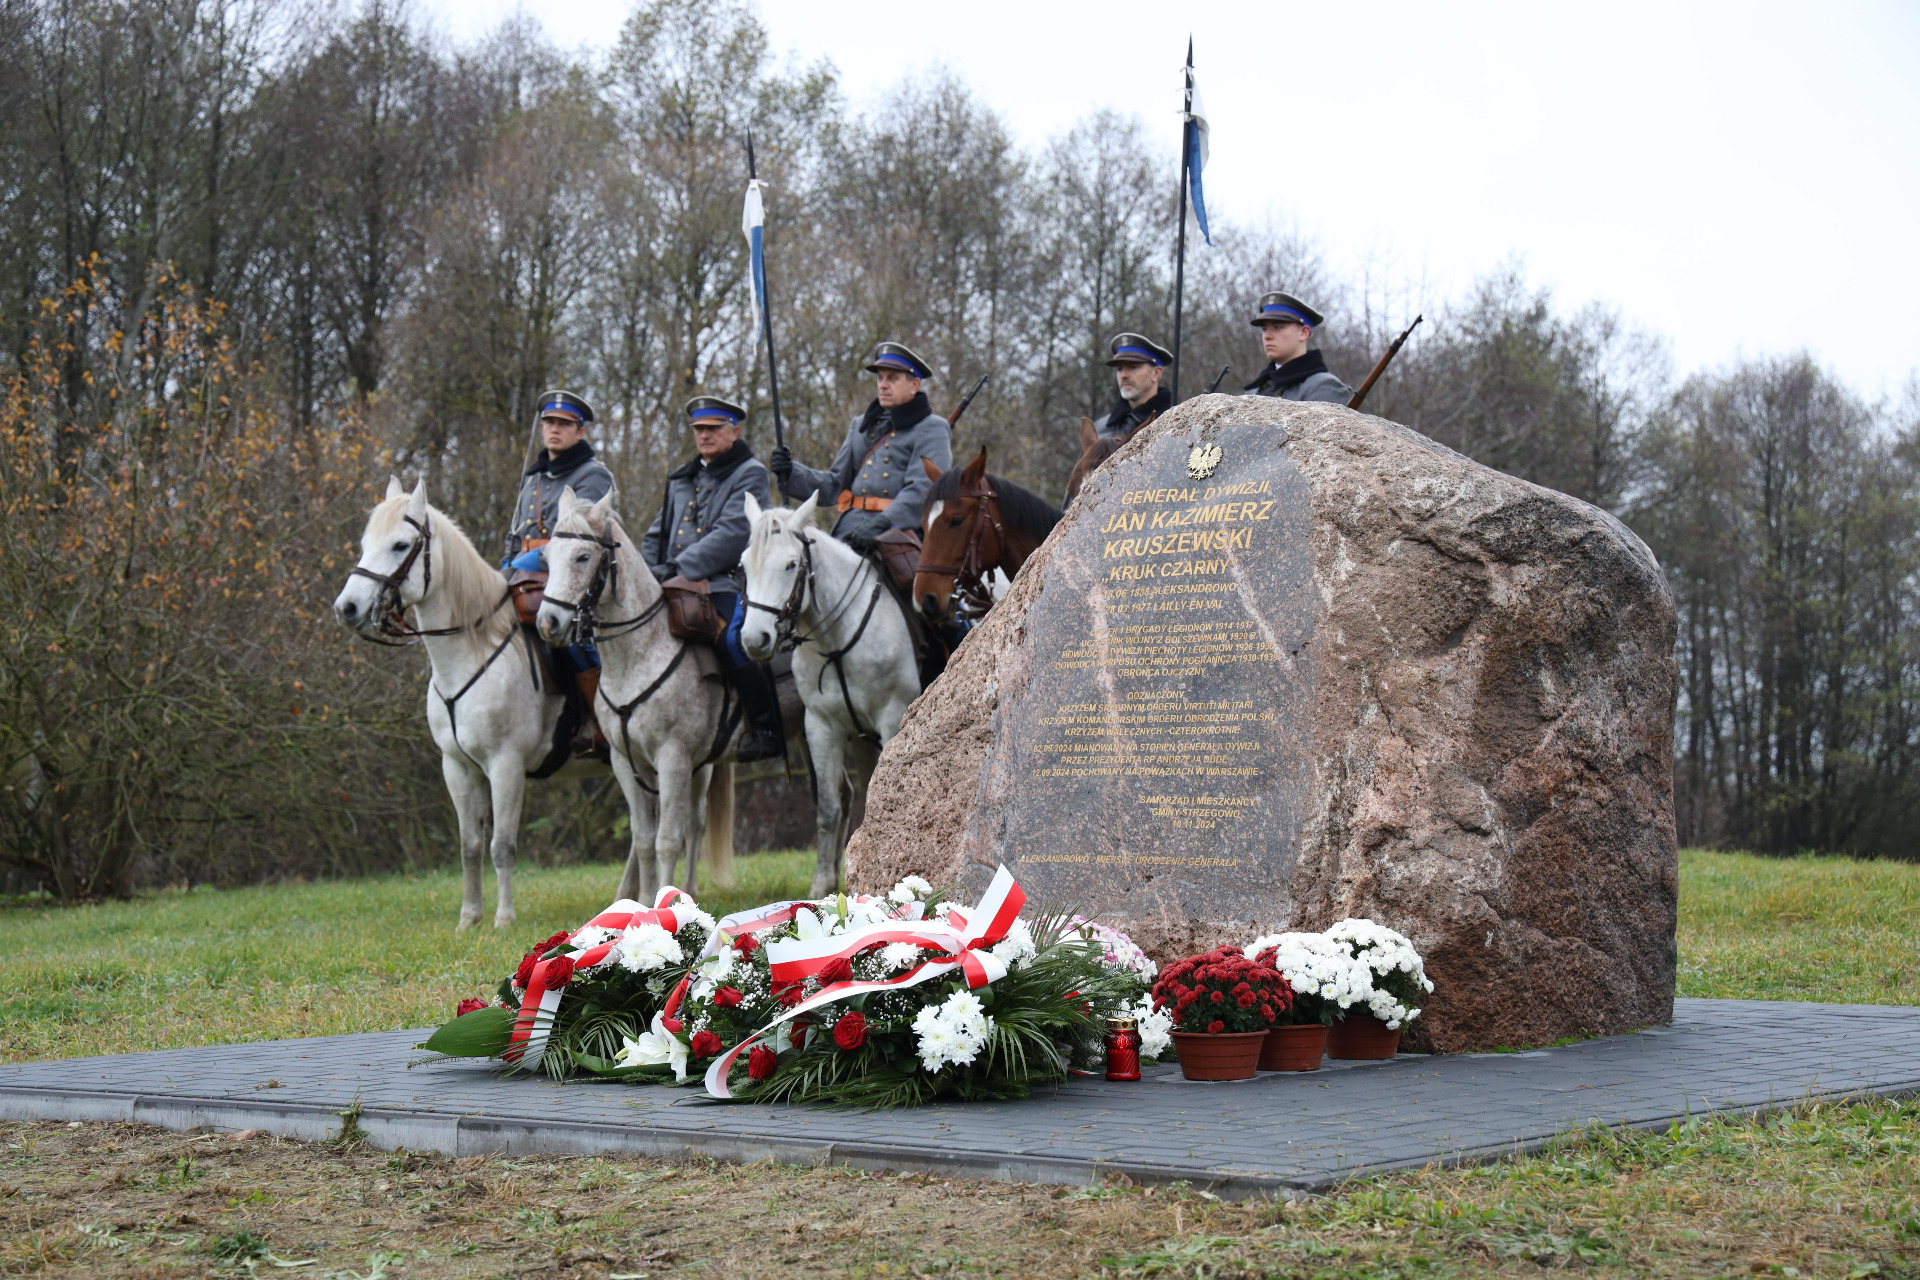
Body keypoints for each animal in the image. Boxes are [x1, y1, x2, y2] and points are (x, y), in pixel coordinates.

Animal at [333, 477, 606, 929]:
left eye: (399, 545)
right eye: (365, 543)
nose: (347, 607)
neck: (473, 654)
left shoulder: (505, 766)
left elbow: (502, 845)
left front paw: (504, 919)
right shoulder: (458, 768)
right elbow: (470, 845)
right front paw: (469, 918)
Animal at [534, 486, 802, 904]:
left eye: (582, 556)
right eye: (546, 556)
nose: (548, 623)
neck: (637, 655)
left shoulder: (671, 758)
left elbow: (666, 840)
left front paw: (663, 901)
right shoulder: (626, 763)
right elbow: (645, 839)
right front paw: (645, 902)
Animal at [738, 491, 920, 898]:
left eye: (791, 564)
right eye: (743, 565)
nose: (755, 640)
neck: (837, 639)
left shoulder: (892, 720)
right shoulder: (821, 728)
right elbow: (828, 810)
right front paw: (823, 883)